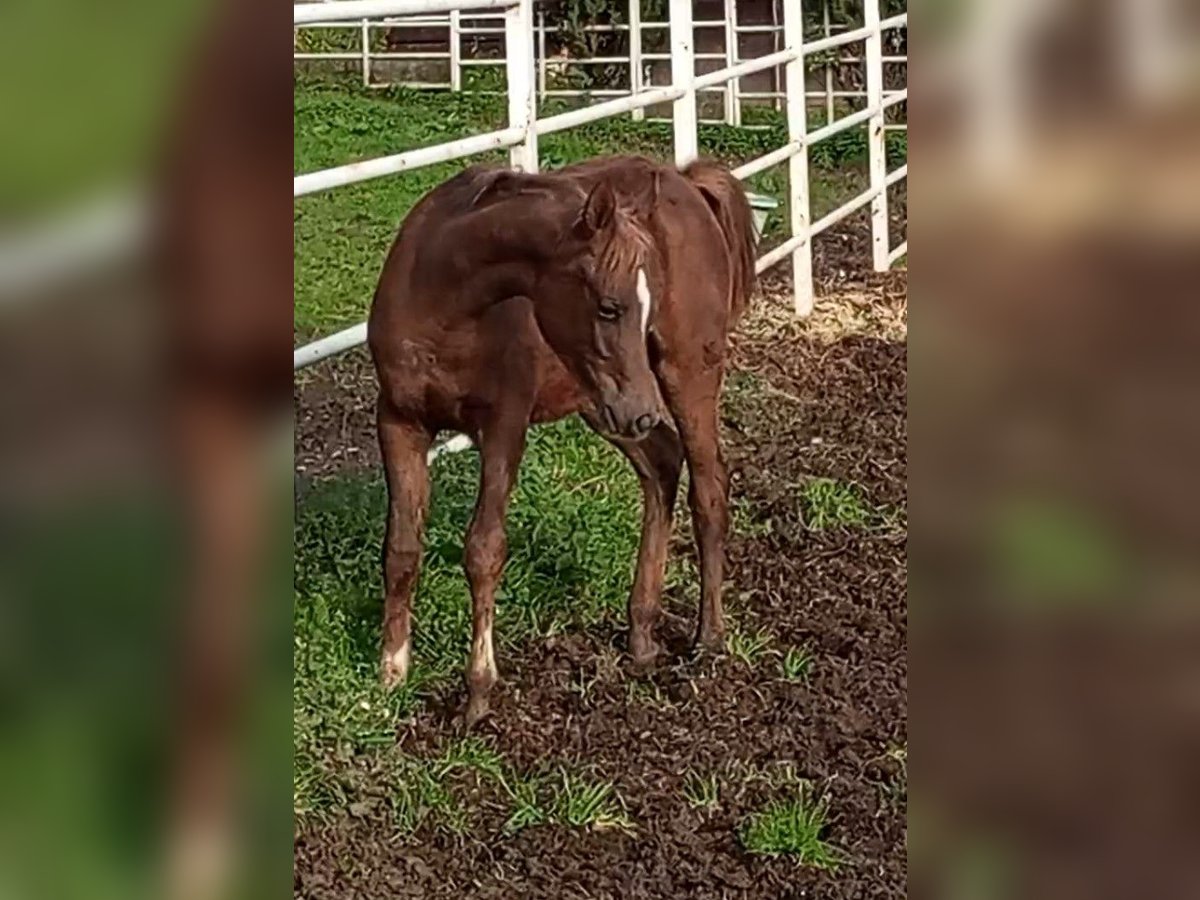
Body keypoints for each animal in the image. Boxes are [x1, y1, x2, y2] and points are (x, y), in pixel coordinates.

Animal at [367, 151, 758, 724]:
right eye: (609, 307)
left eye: (646, 304)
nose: (642, 412)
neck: (444, 307)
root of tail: (689, 184)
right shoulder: (398, 421)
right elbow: (400, 547)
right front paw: (391, 674)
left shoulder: (503, 425)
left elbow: (484, 549)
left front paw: (478, 693)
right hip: (601, 405)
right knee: (663, 461)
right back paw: (641, 633)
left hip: (681, 375)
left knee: (709, 489)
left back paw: (709, 639)